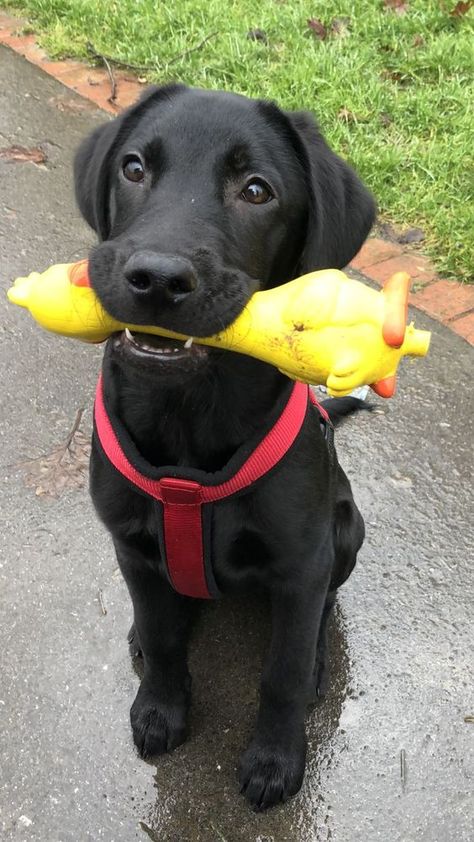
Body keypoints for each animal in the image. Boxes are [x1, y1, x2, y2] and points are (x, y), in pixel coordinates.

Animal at [74, 83, 376, 808]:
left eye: (256, 190)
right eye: (133, 168)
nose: (156, 278)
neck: (188, 419)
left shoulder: (300, 563)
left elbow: (282, 673)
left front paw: (275, 757)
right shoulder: (128, 542)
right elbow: (163, 638)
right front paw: (160, 707)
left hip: (346, 529)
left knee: (324, 609)